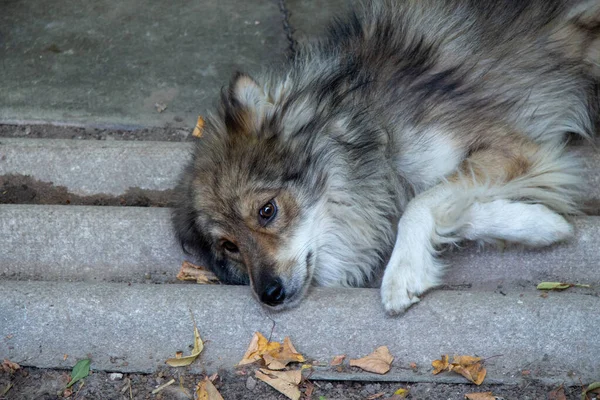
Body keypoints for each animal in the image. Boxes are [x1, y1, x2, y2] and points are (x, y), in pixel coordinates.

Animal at [171, 0, 596, 312]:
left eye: (267, 211)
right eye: (229, 246)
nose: (269, 296)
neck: (372, 127)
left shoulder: (514, 148)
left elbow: (419, 204)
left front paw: (401, 274)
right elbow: (450, 206)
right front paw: (541, 224)